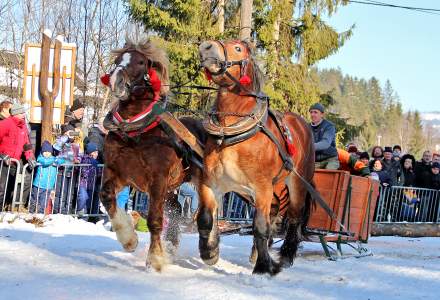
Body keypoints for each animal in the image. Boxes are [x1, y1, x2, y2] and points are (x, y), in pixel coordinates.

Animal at [99, 38, 205, 272]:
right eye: (118, 61)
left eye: (140, 62)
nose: (116, 81)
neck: (136, 132)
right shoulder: (118, 172)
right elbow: (106, 196)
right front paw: (129, 239)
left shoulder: (157, 180)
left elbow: (154, 220)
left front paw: (155, 259)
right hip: (172, 188)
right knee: (175, 210)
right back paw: (172, 248)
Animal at [198, 40, 314, 276]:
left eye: (238, 48)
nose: (206, 46)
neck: (229, 130)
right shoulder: (211, 183)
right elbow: (206, 218)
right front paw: (209, 252)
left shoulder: (261, 188)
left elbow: (260, 227)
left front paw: (263, 267)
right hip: (275, 189)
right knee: (275, 213)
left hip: (296, 184)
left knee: (294, 219)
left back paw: (285, 256)